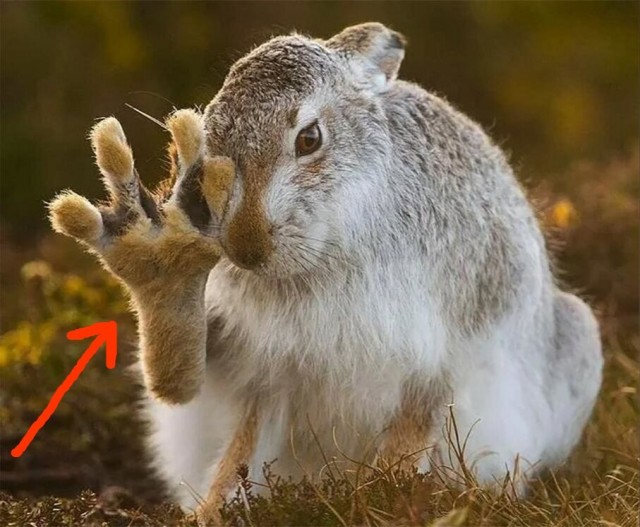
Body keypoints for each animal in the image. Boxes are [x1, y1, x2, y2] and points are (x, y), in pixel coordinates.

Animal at [49, 22, 603, 524]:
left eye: (310, 138)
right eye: (207, 144)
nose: (246, 248)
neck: (325, 251)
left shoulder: (441, 356)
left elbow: (411, 436)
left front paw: (389, 497)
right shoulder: (263, 373)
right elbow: (199, 410)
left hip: (579, 339)